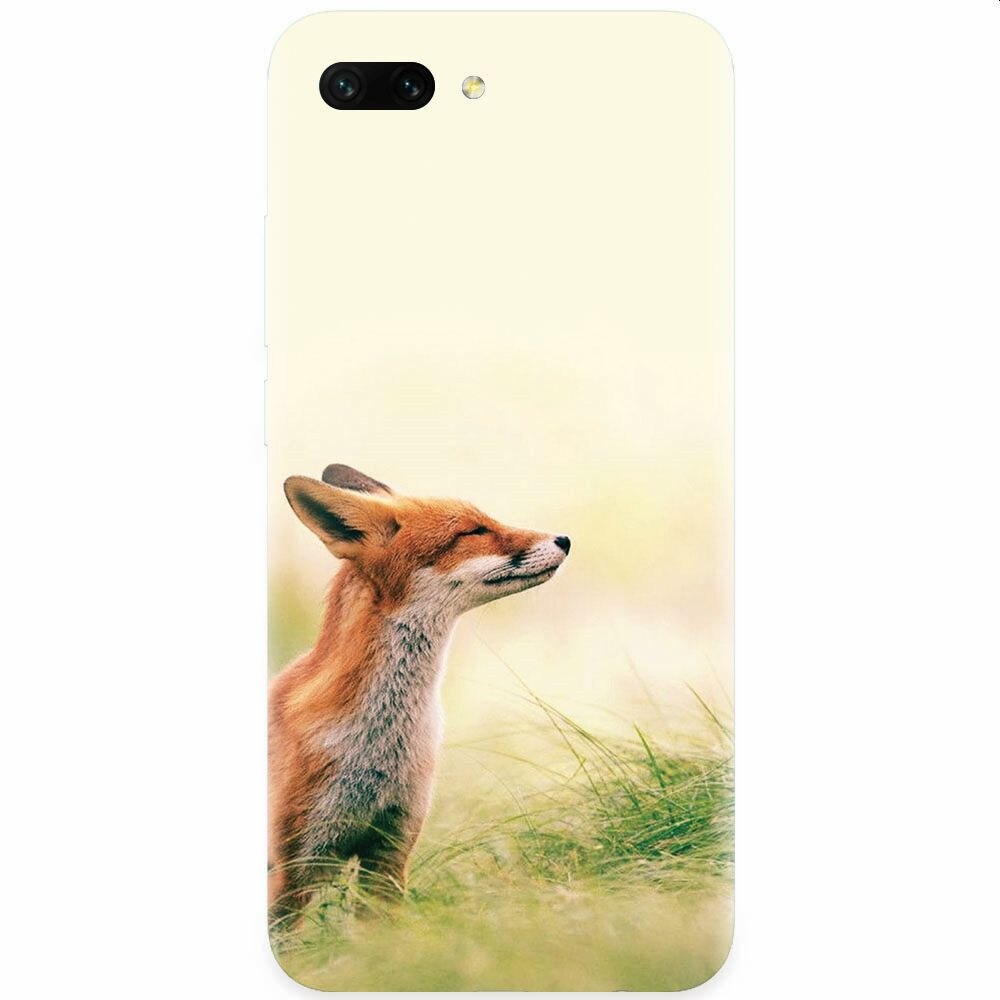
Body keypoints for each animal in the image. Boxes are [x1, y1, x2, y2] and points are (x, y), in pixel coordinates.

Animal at [269, 463, 570, 925]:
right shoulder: (293, 869)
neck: (380, 746)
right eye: (473, 531)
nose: (565, 540)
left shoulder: (390, 852)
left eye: (487, 520)